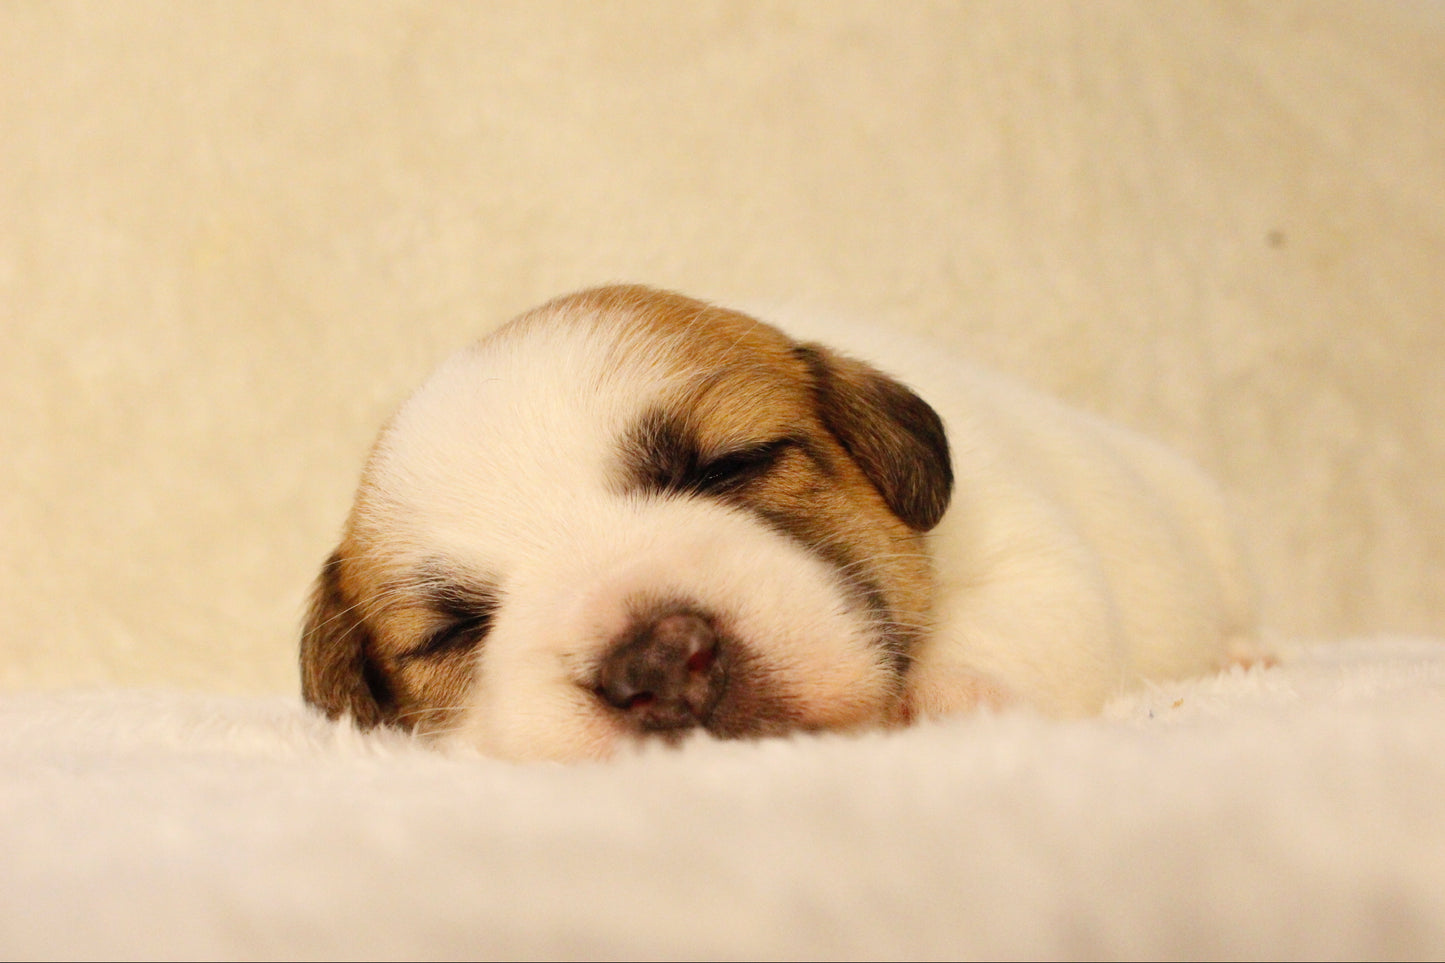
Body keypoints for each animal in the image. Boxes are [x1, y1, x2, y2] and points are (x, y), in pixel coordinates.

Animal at [299, 284, 1260, 757]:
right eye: (454, 630)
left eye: (729, 466)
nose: (655, 661)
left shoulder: (1025, 549)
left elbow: (1012, 621)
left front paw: (950, 700)